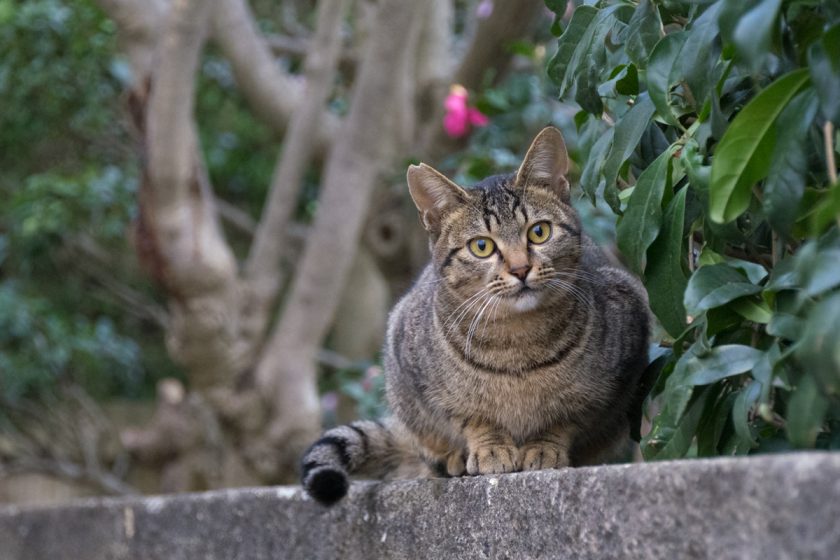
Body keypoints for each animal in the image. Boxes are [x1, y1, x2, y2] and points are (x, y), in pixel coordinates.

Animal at [300, 128, 648, 508]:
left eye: (539, 232)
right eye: (482, 246)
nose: (521, 269)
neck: (518, 343)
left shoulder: (617, 361)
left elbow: (565, 419)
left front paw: (545, 446)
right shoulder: (421, 376)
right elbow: (470, 417)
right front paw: (490, 447)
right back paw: (453, 458)